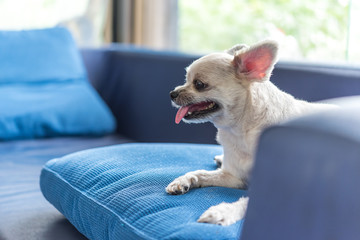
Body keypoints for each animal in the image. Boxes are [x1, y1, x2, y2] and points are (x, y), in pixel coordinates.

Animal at [166, 40, 334, 226]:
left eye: (199, 84)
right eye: (186, 79)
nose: (172, 93)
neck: (239, 132)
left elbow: (245, 204)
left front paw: (222, 212)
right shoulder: (233, 176)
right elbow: (199, 173)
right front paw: (182, 181)